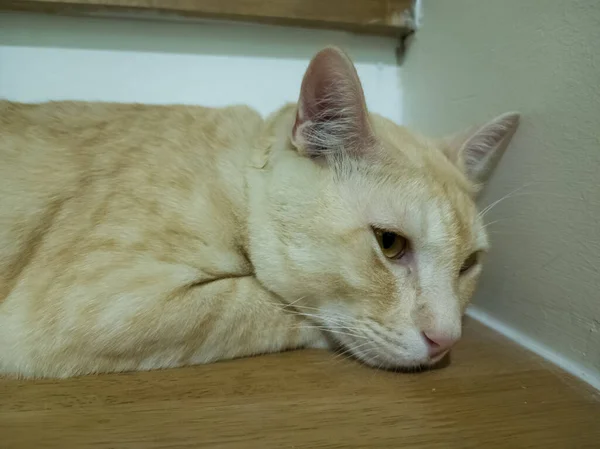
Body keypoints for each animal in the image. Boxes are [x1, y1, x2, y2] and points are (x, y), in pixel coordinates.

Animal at [0, 48, 516, 378]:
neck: (231, 174)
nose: (448, 340)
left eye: (469, 264)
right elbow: (256, 304)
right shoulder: (99, 304)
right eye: (389, 244)